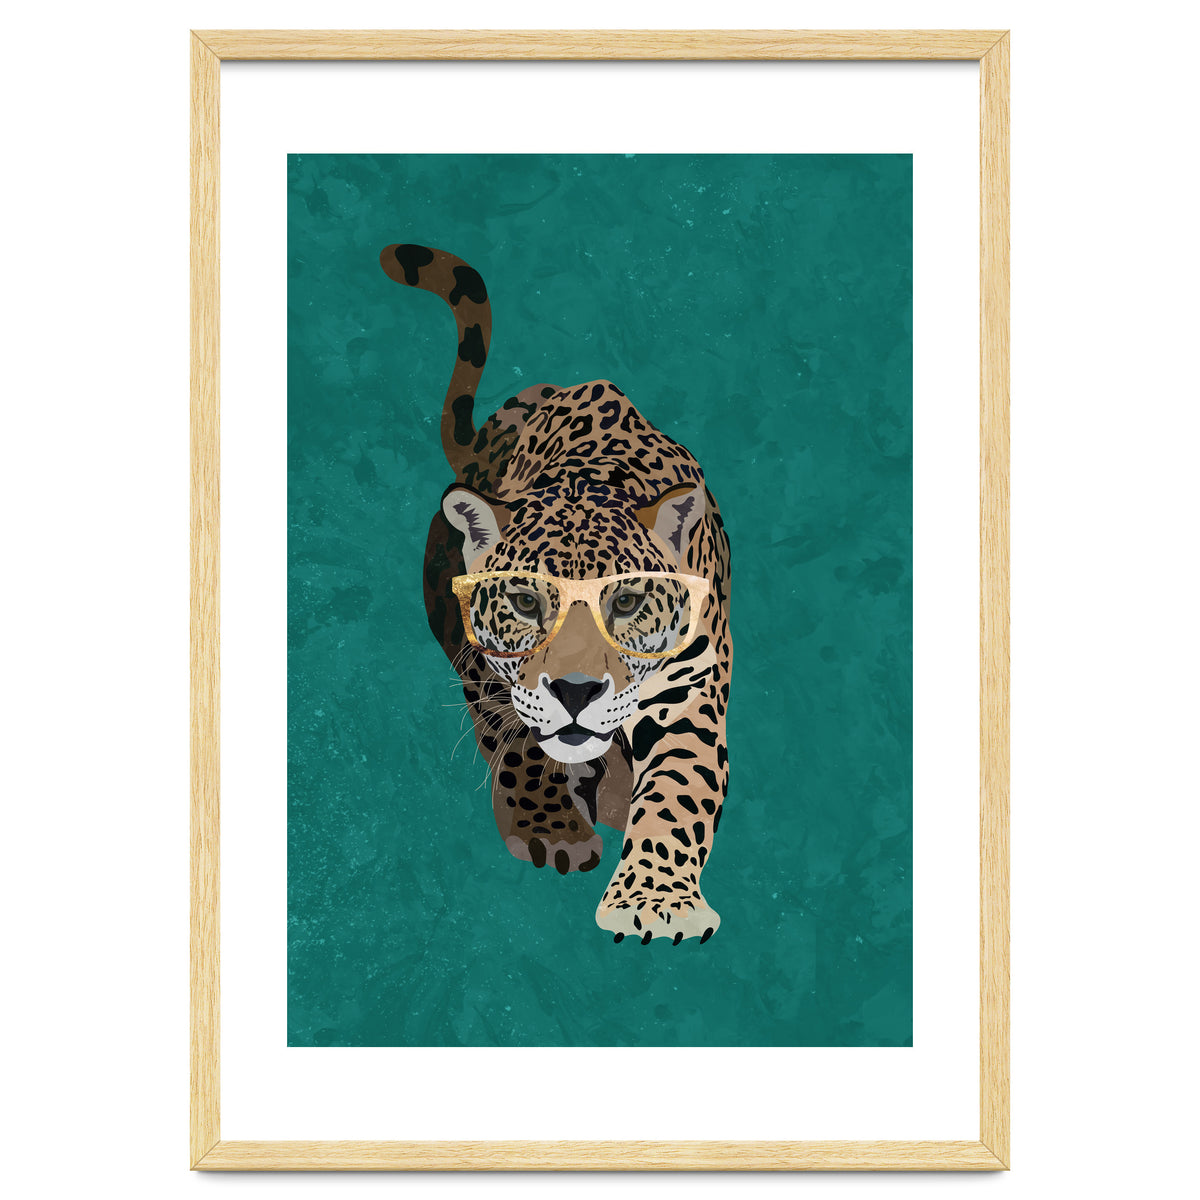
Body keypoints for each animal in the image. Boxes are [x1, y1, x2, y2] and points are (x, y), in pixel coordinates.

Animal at [381, 243, 732, 944]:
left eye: (625, 602)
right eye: (524, 602)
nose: (575, 692)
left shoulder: (690, 687)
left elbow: (678, 790)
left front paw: (655, 902)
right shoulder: (487, 667)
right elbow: (518, 741)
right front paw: (552, 829)